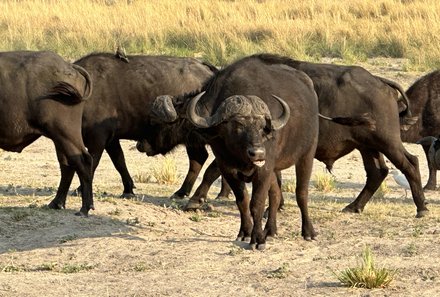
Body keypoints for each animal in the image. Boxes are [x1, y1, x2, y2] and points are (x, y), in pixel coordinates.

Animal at [49, 53, 217, 214]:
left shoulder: (98, 137)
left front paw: (78, 189)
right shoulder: (111, 139)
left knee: (199, 158)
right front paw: (128, 188)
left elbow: (94, 162)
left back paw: (184, 192)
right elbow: (119, 161)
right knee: (199, 158)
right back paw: (183, 192)